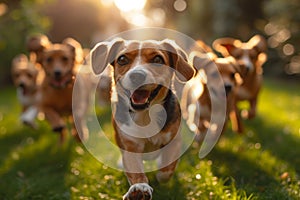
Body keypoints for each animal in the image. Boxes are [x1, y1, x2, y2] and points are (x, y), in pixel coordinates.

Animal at [90, 38, 196, 200]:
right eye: (122, 59)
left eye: (158, 59)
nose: (137, 75)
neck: (145, 114)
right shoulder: (130, 146)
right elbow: (136, 171)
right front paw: (139, 189)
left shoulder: (174, 140)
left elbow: (166, 170)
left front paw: (161, 172)